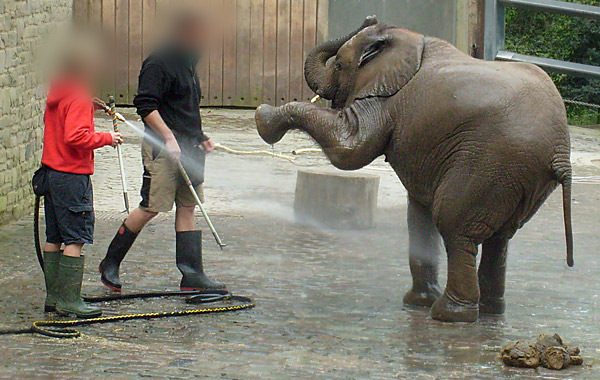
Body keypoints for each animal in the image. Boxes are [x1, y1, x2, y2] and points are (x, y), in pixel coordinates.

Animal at [253, 16, 572, 322]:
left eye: (341, 65)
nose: (370, 17)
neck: (411, 39)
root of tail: (560, 155)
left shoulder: (385, 100)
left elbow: (351, 150)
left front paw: (263, 117)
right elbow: (418, 214)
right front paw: (416, 302)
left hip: (489, 163)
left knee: (455, 226)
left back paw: (449, 315)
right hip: (518, 176)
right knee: (499, 237)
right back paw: (487, 310)